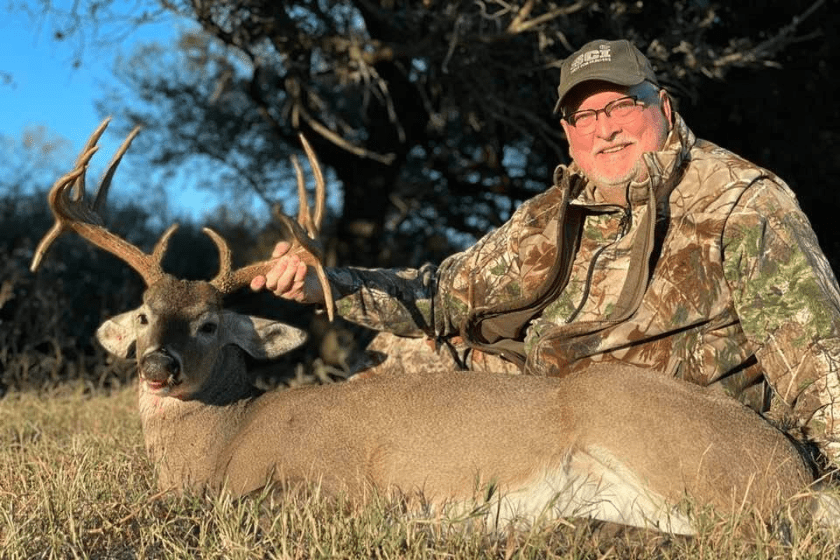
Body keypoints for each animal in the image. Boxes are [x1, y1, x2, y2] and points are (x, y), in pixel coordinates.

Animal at [31, 118, 828, 532]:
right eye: (143, 314)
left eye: (206, 325)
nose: (155, 366)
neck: (225, 442)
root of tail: (793, 469)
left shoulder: (324, 485)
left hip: (666, 449)